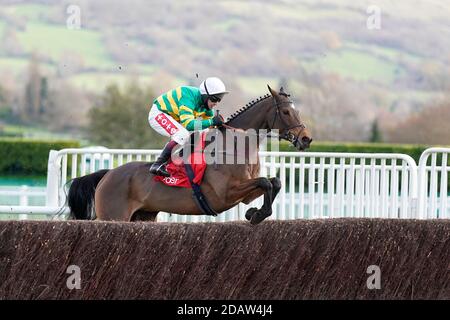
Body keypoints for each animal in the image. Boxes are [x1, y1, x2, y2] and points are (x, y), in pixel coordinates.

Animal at [67, 85, 312, 225]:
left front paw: (254, 212)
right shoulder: (225, 194)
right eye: (286, 112)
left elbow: (274, 182)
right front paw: (257, 215)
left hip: (143, 216)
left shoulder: (245, 194)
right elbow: (266, 182)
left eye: (298, 110)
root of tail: (107, 174)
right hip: (114, 215)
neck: (235, 146)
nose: (306, 139)